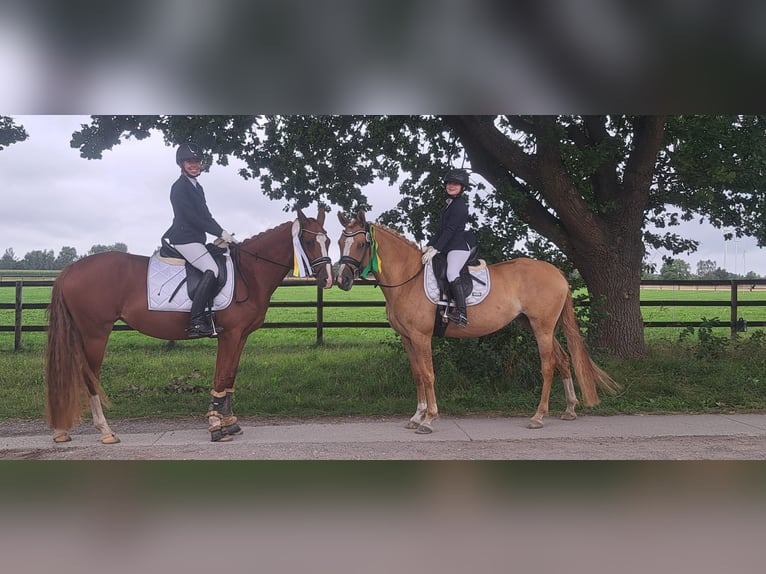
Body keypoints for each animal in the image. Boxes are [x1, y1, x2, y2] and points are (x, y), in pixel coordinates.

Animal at [45, 207, 332, 443]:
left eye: (328, 241)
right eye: (308, 242)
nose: (327, 279)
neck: (248, 273)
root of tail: (69, 270)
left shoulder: (241, 336)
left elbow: (230, 376)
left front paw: (229, 422)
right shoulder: (230, 335)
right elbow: (221, 375)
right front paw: (216, 426)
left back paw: (62, 431)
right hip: (95, 333)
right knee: (89, 376)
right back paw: (105, 431)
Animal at [335, 210, 621, 432]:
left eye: (361, 244)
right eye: (339, 242)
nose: (343, 281)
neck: (409, 279)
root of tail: (556, 272)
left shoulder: (421, 337)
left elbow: (428, 374)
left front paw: (429, 419)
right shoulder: (407, 338)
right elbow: (417, 374)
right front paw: (416, 416)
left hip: (542, 327)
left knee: (549, 365)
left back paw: (538, 416)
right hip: (534, 325)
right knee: (563, 359)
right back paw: (570, 409)